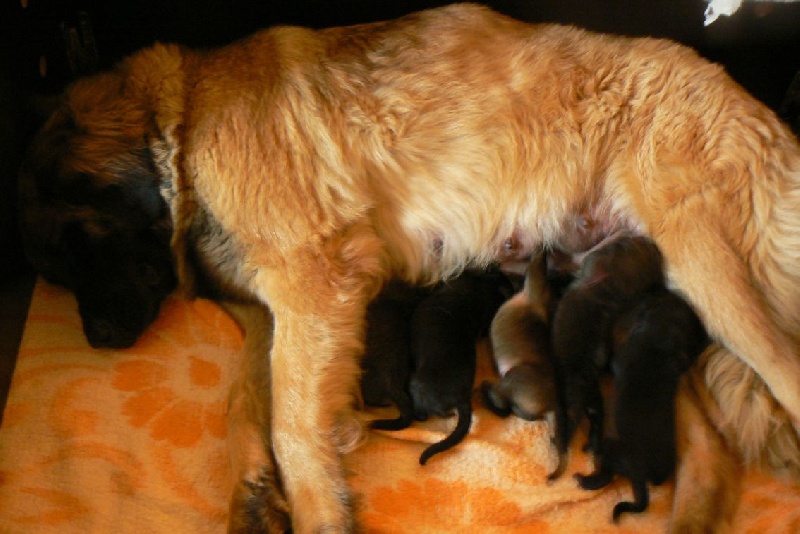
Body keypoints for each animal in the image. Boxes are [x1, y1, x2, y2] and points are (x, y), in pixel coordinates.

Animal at [552, 237, 664, 480]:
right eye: (627, 247)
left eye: (621, 247)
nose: (646, 240)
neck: (608, 291)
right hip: (596, 400)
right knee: (596, 422)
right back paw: (593, 449)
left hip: (569, 400)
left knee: (567, 426)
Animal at [576, 288, 708, 524]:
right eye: (673, 302)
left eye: (654, 301)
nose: (673, 292)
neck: (659, 341)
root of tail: (639, 473)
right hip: (663, 464)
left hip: (610, 451)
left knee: (605, 475)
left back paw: (584, 480)